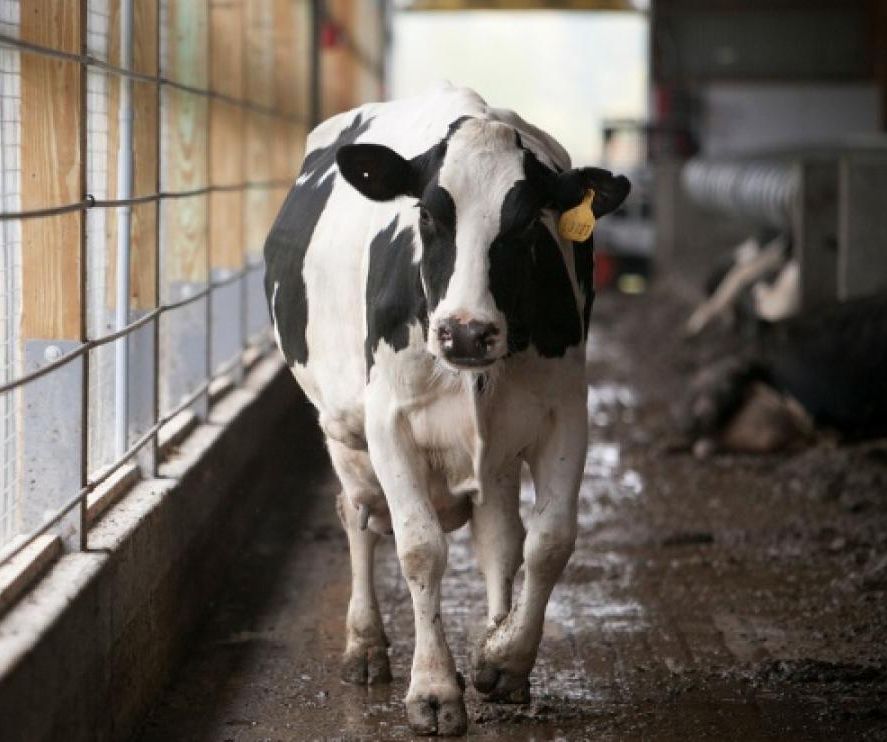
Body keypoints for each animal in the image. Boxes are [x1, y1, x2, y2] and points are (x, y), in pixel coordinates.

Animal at [264, 84, 630, 736]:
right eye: (430, 215)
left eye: (526, 224)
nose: (465, 332)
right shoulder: (388, 421)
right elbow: (419, 548)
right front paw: (433, 689)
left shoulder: (566, 410)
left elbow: (548, 541)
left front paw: (505, 659)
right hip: (341, 427)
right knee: (357, 513)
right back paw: (365, 644)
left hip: (498, 444)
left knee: (499, 535)